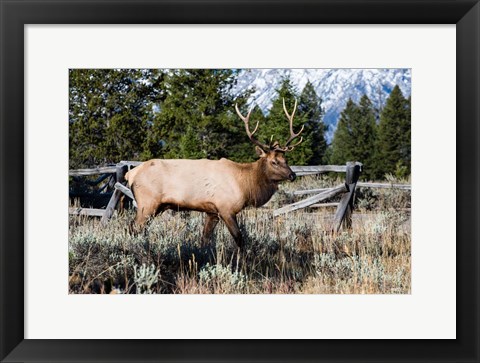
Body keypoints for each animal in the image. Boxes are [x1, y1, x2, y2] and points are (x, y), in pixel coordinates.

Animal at [124, 98, 304, 249]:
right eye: (274, 161)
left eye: (285, 159)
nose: (292, 175)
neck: (245, 185)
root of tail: (130, 174)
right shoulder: (226, 208)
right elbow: (239, 238)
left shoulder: (212, 212)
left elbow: (205, 239)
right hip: (147, 203)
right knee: (133, 228)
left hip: (157, 206)